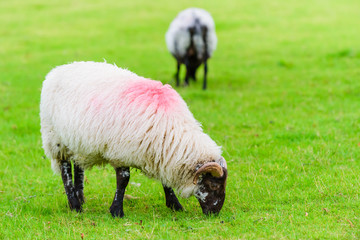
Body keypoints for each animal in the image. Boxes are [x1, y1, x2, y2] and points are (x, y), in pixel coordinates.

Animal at [40, 61, 228, 218]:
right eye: (213, 185)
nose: (215, 213)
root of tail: (58, 70)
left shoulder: (160, 153)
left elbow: (165, 181)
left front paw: (175, 205)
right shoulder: (121, 152)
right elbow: (123, 180)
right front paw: (116, 211)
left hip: (77, 143)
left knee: (78, 168)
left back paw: (80, 198)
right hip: (55, 140)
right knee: (65, 170)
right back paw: (75, 206)